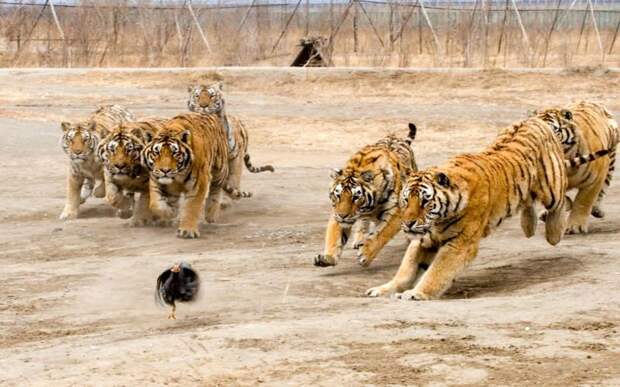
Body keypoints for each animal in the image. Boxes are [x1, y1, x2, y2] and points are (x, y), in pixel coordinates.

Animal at [312, 124, 418, 270]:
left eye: (355, 197)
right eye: (338, 195)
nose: (342, 216)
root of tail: (396, 137)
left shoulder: (395, 212)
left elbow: (381, 233)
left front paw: (365, 255)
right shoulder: (336, 212)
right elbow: (334, 236)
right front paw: (327, 258)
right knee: (364, 221)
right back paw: (359, 240)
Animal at [366, 116, 568, 302]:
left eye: (425, 201)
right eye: (406, 200)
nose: (408, 223)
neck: (439, 219)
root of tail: (534, 119)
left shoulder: (460, 244)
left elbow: (436, 272)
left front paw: (416, 293)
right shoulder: (425, 239)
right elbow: (406, 270)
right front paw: (382, 289)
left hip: (551, 187)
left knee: (559, 202)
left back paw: (554, 234)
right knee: (528, 202)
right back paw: (529, 227)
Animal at [532, 100, 616, 233]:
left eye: (554, 131)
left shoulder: (596, 178)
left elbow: (583, 201)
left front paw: (575, 226)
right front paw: (566, 204)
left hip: (611, 157)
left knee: (604, 185)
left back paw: (597, 210)